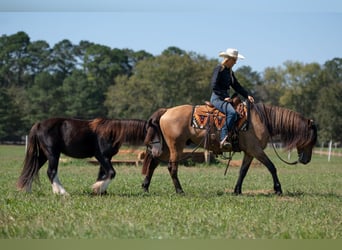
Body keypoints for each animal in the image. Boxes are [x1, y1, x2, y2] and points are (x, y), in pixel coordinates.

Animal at [16, 117, 160, 195]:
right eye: (153, 133)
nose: (158, 152)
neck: (112, 132)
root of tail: (39, 124)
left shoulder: (106, 158)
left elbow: (103, 174)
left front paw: (100, 191)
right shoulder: (101, 156)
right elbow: (111, 173)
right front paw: (97, 188)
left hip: (43, 155)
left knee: (33, 169)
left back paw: (27, 190)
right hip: (53, 154)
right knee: (51, 172)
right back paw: (62, 192)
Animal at [142, 102, 318, 195]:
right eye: (311, 139)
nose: (306, 160)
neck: (262, 120)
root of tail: (167, 111)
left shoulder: (249, 152)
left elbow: (243, 171)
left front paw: (237, 190)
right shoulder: (256, 150)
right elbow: (272, 167)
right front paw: (278, 189)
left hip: (166, 148)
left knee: (154, 163)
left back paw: (145, 187)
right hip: (175, 147)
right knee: (172, 167)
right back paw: (180, 191)